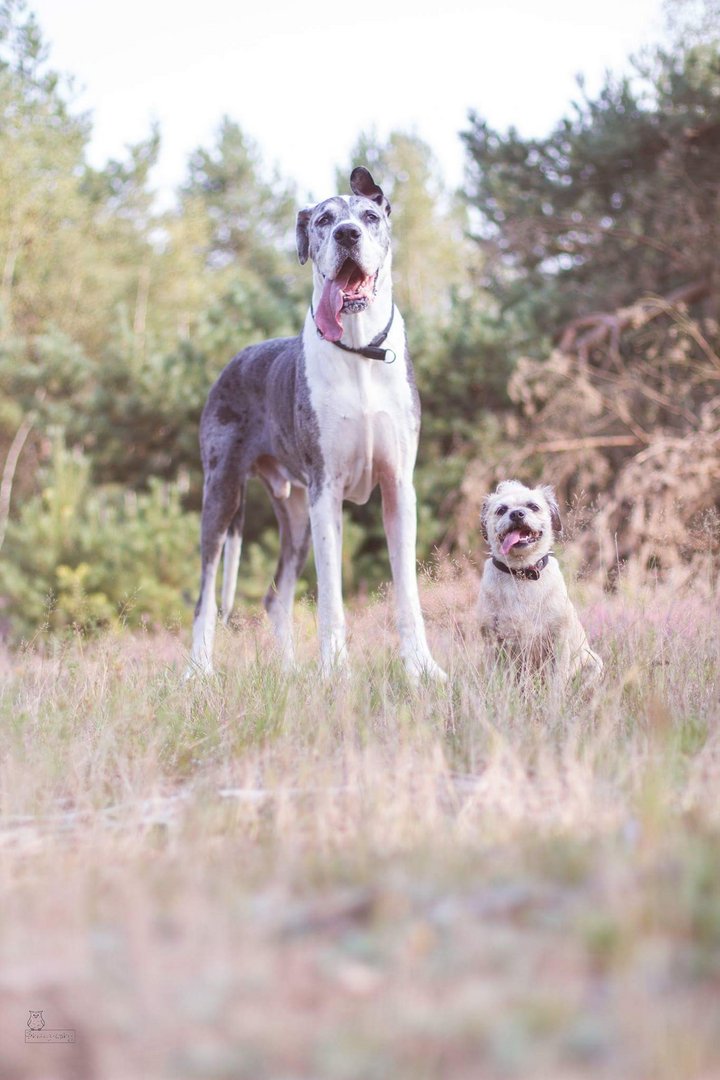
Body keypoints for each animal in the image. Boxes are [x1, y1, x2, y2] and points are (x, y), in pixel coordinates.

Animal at [479, 481, 604, 682]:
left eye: (533, 506)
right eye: (501, 510)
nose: (516, 513)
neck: (521, 572)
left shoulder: (558, 642)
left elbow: (558, 680)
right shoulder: (492, 643)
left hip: (593, 662)